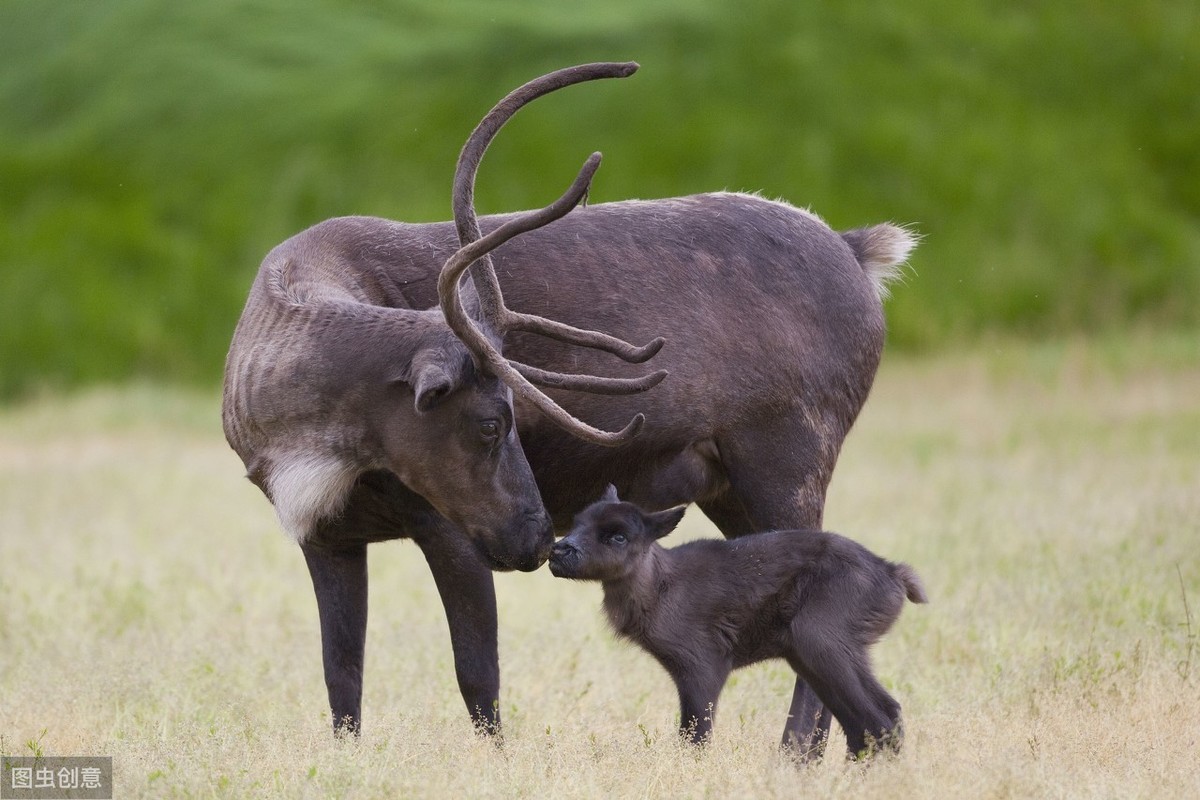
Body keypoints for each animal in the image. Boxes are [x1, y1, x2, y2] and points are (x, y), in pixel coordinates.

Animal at [547, 489, 926, 758]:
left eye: (618, 537)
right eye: (577, 524)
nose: (558, 552)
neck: (661, 589)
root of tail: (894, 576)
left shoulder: (705, 663)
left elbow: (696, 736)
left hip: (824, 640)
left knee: (878, 717)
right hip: (817, 654)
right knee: (872, 720)